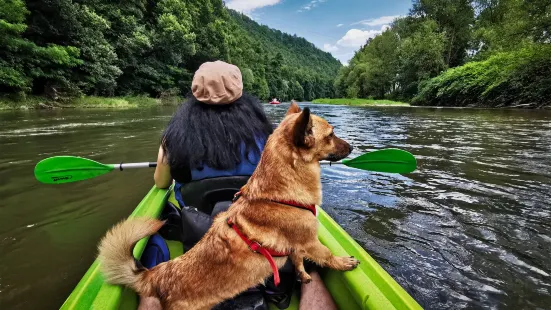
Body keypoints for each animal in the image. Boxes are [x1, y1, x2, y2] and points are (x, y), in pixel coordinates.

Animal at [97, 103, 360, 308]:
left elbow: (297, 259)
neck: (278, 193)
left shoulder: (296, 245)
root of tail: (158, 275)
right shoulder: (310, 242)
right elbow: (326, 255)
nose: (352, 148)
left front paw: (303, 274)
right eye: (331, 135)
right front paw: (343, 262)